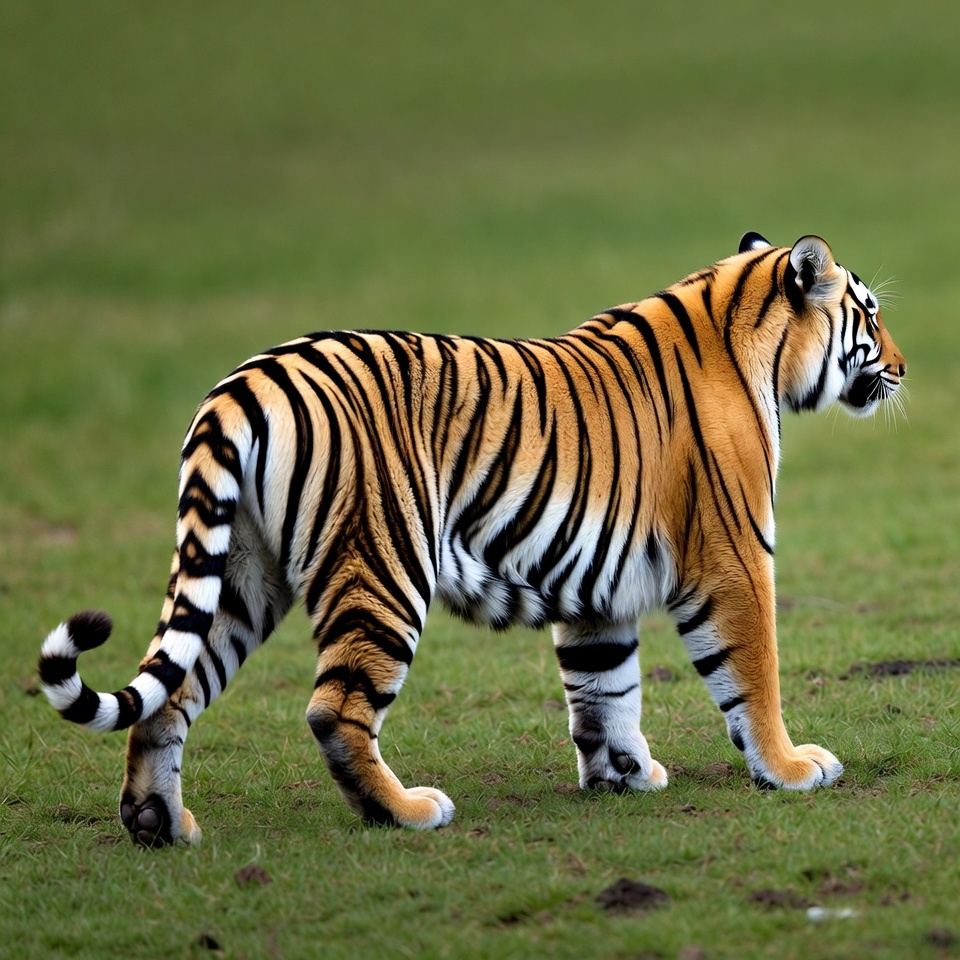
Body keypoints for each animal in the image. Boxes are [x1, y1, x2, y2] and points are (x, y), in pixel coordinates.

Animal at [39, 232, 906, 846]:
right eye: (869, 313)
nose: (902, 365)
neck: (747, 335)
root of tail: (247, 381)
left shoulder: (597, 581)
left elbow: (604, 684)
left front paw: (622, 773)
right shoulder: (733, 556)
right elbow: (754, 672)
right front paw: (790, 768)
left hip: (239, 574)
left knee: (170, 694)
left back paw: (158, 824)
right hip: (382, 564)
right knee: (334, 709)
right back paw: (405, 811)